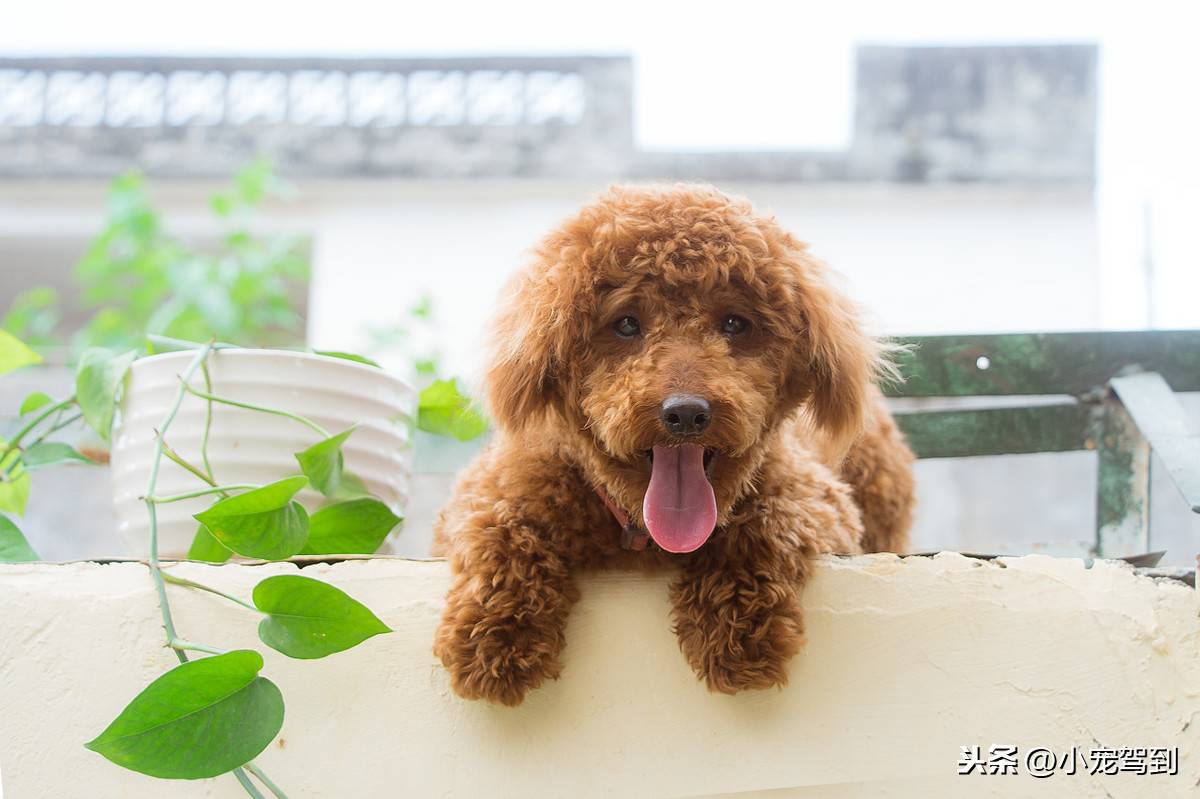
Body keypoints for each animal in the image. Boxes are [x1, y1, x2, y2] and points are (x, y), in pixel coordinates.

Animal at [436, 182, 912, 705]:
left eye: (734, 323)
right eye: (626, 324)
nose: (686, 413)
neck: (642, 532)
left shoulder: (816, 498)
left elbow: (768, 519)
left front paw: (738, 634)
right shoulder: (496, 485)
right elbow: (501, 526)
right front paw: (495, 637)